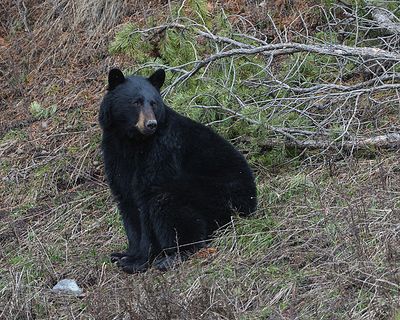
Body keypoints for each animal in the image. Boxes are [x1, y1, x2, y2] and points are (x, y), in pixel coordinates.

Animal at [99, 68, 256, 272]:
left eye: (154, 102)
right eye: (136, 102)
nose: (151, 124)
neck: (131, 141)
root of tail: (251, 205)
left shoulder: (161, 152)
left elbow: (145, 200)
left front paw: (138, 261)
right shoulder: (115, 157)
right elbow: (127, 203)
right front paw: (125, 254)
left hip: (216, 197)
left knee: (168, 204)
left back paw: (173, 256)